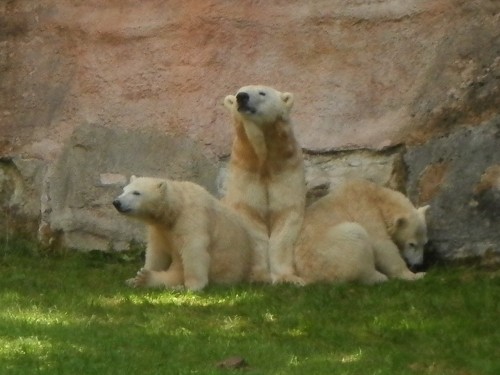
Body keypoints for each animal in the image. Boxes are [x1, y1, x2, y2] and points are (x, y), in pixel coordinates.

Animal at [113, 176, 254, 290]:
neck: (176, 209)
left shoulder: (192, 219)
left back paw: (153, 280)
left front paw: (193, 286)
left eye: (136, 192)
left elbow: (193, 250)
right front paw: (137, 276)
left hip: (224, 269)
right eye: (124, 190)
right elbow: (157, 252)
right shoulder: (160, 229)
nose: (116, 202)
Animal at [225, 85, 306, 284]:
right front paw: (258, 276)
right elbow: (250, 214)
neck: (263, 160)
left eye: (262, 93)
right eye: (238, 92)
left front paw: (288, 278)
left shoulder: (286, 168)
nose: (242, 97)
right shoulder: (246, 170)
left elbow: (286, 215)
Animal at [294, 181, 428, 284]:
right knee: (356, 239)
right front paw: (415, 275)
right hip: (331, 254)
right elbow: (381, 245)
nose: (419, 264)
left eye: (424, 243)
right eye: (411, 244)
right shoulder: (366, 210)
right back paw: (380, 277)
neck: (377, 196)